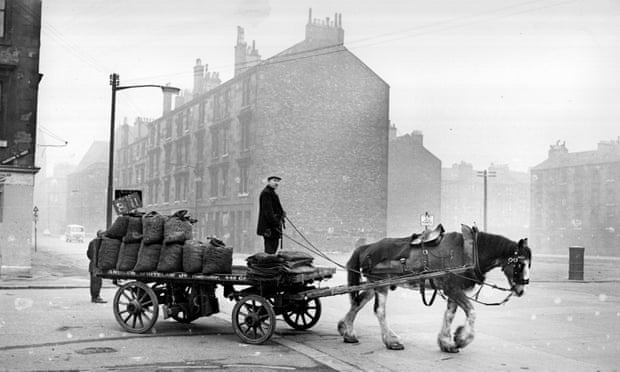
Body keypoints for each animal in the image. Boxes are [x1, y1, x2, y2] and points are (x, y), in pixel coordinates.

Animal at [336, 224, 532, 352]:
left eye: (529, 264)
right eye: (519, 264)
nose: (521, 290)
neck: (469, 252)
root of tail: (366, 246)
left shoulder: (453, 290)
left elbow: (450, 315)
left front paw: (446, 342)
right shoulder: (452, 289)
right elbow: (472, 311)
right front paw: (462, 338)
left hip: (373, 284)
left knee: (358, 302)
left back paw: (347, 331)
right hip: (381, 284)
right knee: (379, 311)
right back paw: (391, 341)